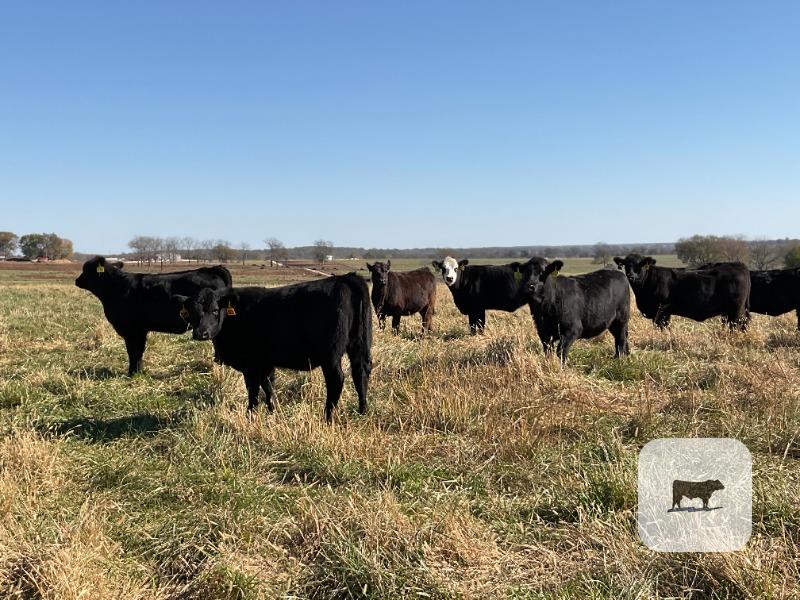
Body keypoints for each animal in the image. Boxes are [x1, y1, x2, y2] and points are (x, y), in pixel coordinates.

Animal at [75, 256, 232, 376]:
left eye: (86, 269)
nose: (77, 280)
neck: (117, 287)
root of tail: (211, 269)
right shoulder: (140, 330)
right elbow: (138, 351)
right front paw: (138, 372)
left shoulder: (132, 330)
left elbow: (134, 351)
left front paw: (133, 373)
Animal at [172, 273, 371, 422]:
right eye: (191, 313)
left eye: (215, 310)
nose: (201, 333)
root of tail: (345, 278)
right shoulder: (265, 362)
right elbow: (268, 387)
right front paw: (273, 411)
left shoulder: (251, 364)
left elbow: (253, 390)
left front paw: (250, 416)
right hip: (358, 344)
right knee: (360, 373)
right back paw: (363, 410)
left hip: (331, 355)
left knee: (337, 380)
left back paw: (328, 417)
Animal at [613, 254, 750, 330]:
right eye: (626, 265)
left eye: (640, 265)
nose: (631, 275)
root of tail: (739, 265)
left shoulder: (662, 311)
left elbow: (662, 327)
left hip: (735, 311)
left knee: (737, 325)